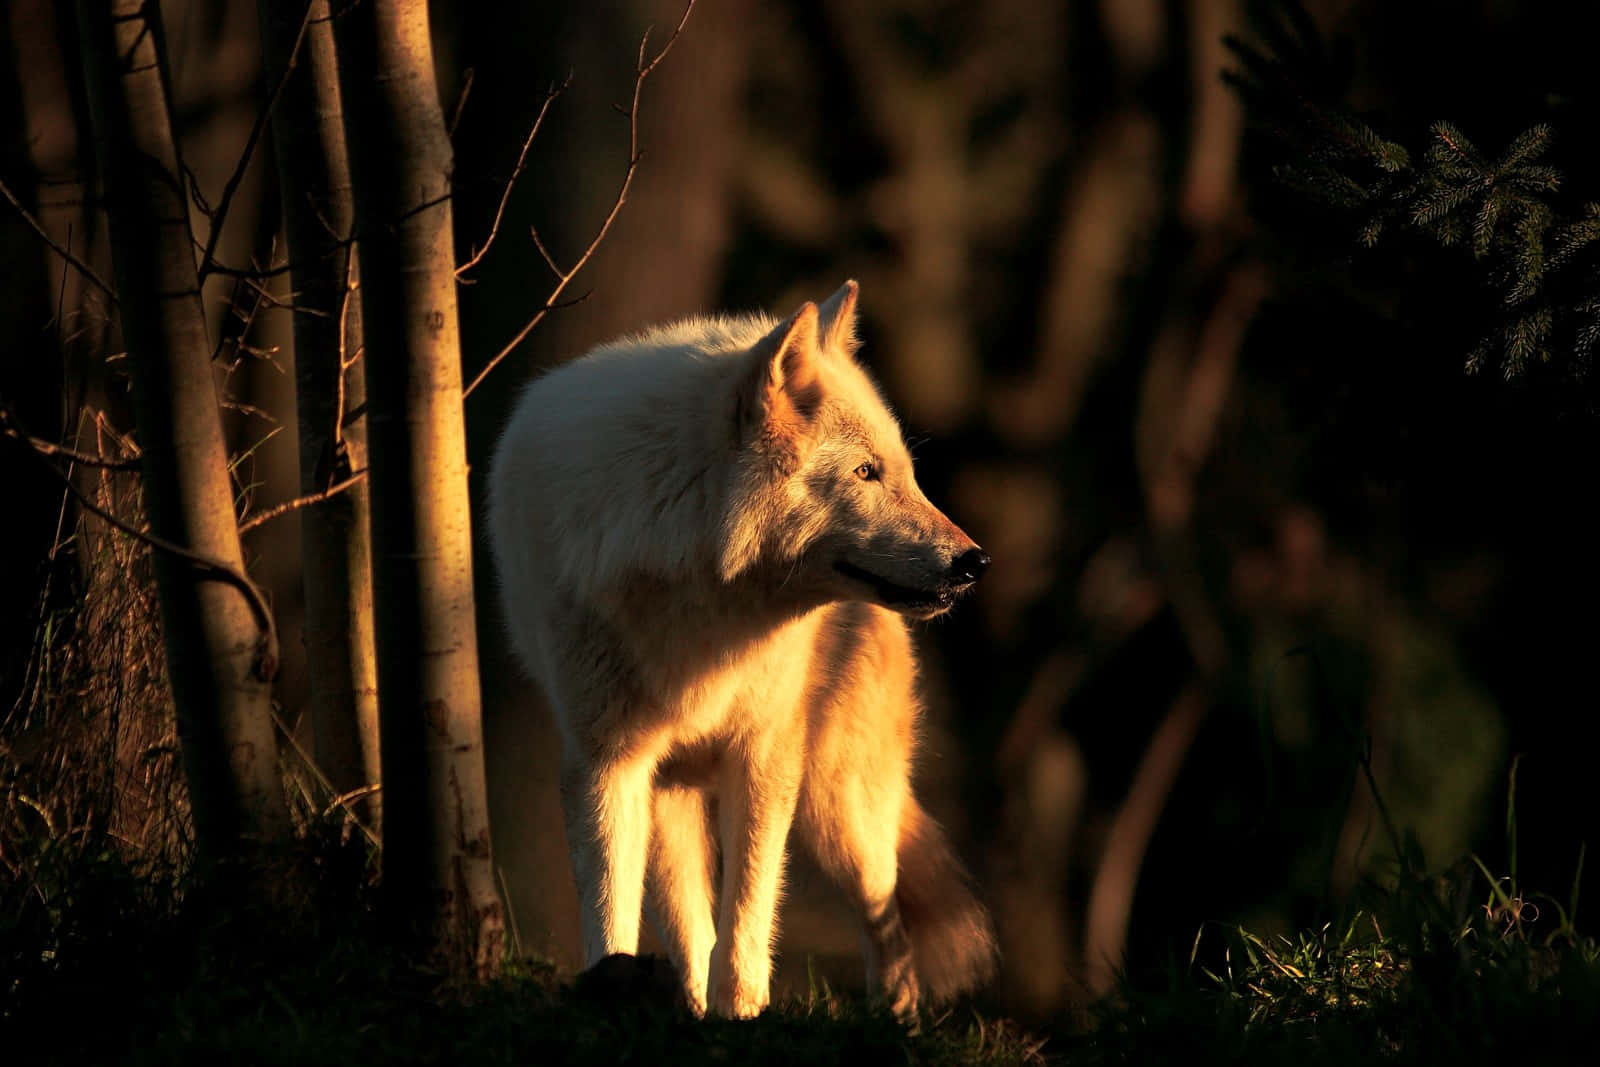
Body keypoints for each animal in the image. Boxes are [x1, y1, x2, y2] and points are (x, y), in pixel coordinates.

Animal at [480, 281, 992, 1017]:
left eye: (905, 473)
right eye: (866, 472)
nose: (975, 562)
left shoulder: (762, 754)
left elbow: (747, 913)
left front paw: (741, 1013)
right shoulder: (608, 762)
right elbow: (614, 905)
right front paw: (622, 989)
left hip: (837, 808)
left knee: (888, 923)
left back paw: (894, 1020)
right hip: (678, 793)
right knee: (689, 921)